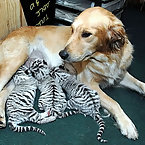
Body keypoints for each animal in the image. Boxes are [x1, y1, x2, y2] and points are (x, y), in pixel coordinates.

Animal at [0, 7, 144, 140]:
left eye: (86, 34)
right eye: (72, 30)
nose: (62, 54)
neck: (107, 58)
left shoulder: (120, 75)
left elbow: (141, 85)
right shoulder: (87, 82)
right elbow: (114, 102)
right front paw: (127, 124)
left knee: (4, 91)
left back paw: (1, 117)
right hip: (15, 61)